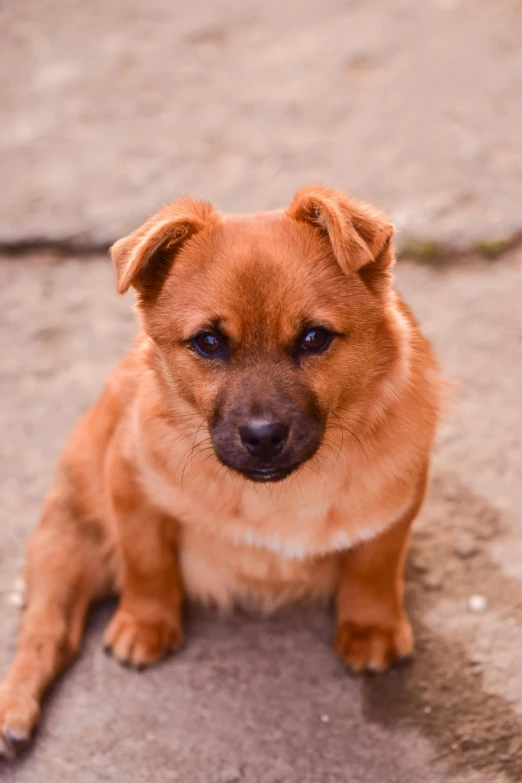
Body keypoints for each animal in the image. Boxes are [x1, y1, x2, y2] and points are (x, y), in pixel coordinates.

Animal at [0, 187, 438, 756]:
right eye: (209, 342)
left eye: (315, 338)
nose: (263, 436)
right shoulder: (131, 482)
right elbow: (145, 561)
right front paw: (145, 622)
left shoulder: (398, 497)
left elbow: (374, 564)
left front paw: (370, 628)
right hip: (64, 542)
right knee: (46, 629)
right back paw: (14, 711)